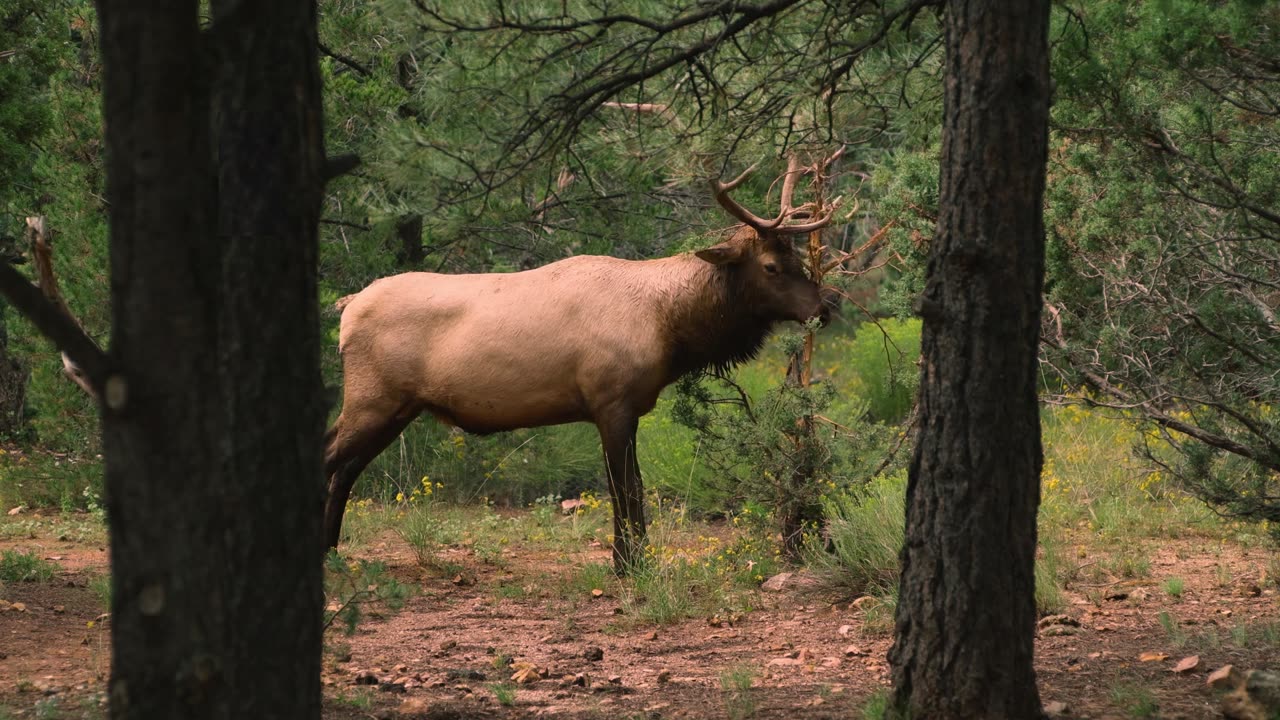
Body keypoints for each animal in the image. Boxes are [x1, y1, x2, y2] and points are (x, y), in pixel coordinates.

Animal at [325, 159, 834, 568]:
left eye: (795, 257)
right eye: (771, 265)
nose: (823, 309)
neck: (669, 326)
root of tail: (346, 309)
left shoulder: (623, 407)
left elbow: (627, 487)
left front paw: (631, 559)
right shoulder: (611, 401)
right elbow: (627, 488)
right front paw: (629, 564)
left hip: (397, 406)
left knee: (345, 467)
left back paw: (332, 551)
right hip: (374, 397)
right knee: (331, 458)